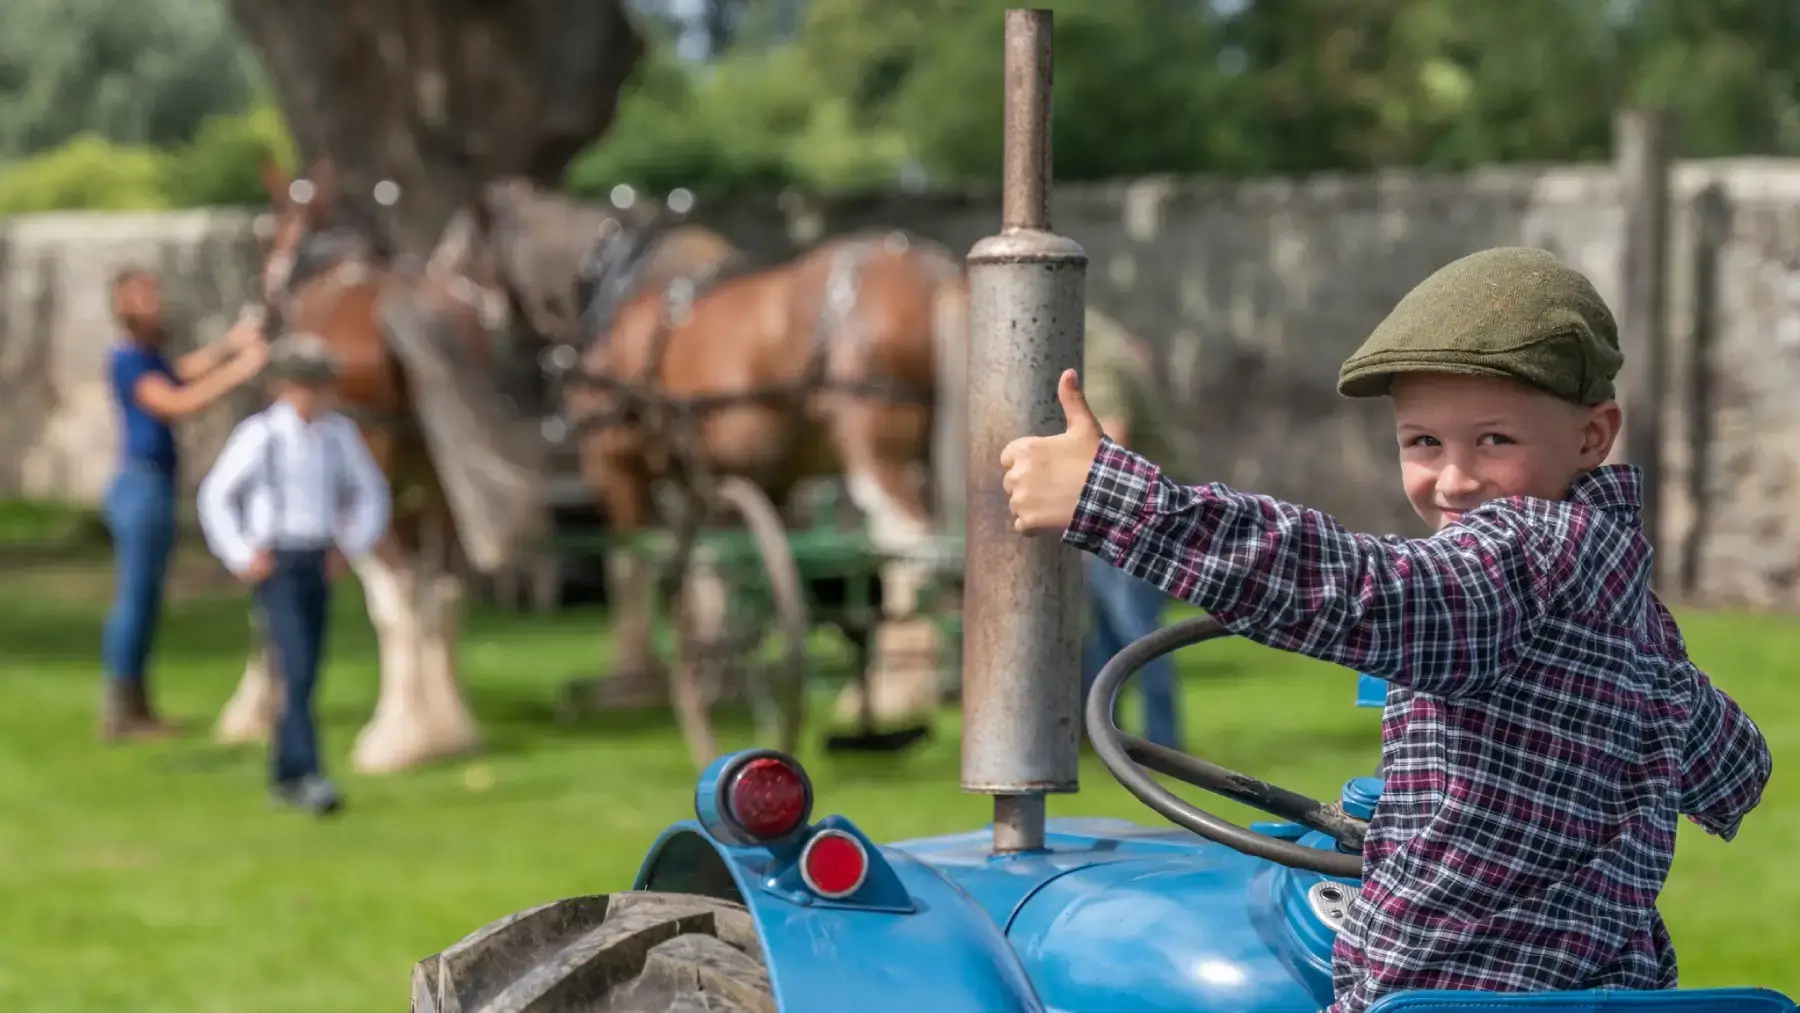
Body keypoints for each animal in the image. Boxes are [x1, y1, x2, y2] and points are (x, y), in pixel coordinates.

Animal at [212, 158, 547, 773]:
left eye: (267, 230)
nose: (257, 311)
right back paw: (447, 734)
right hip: (438, 491)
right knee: (442, 589)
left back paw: (393, 740)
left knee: (395, 593)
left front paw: (256, 710)